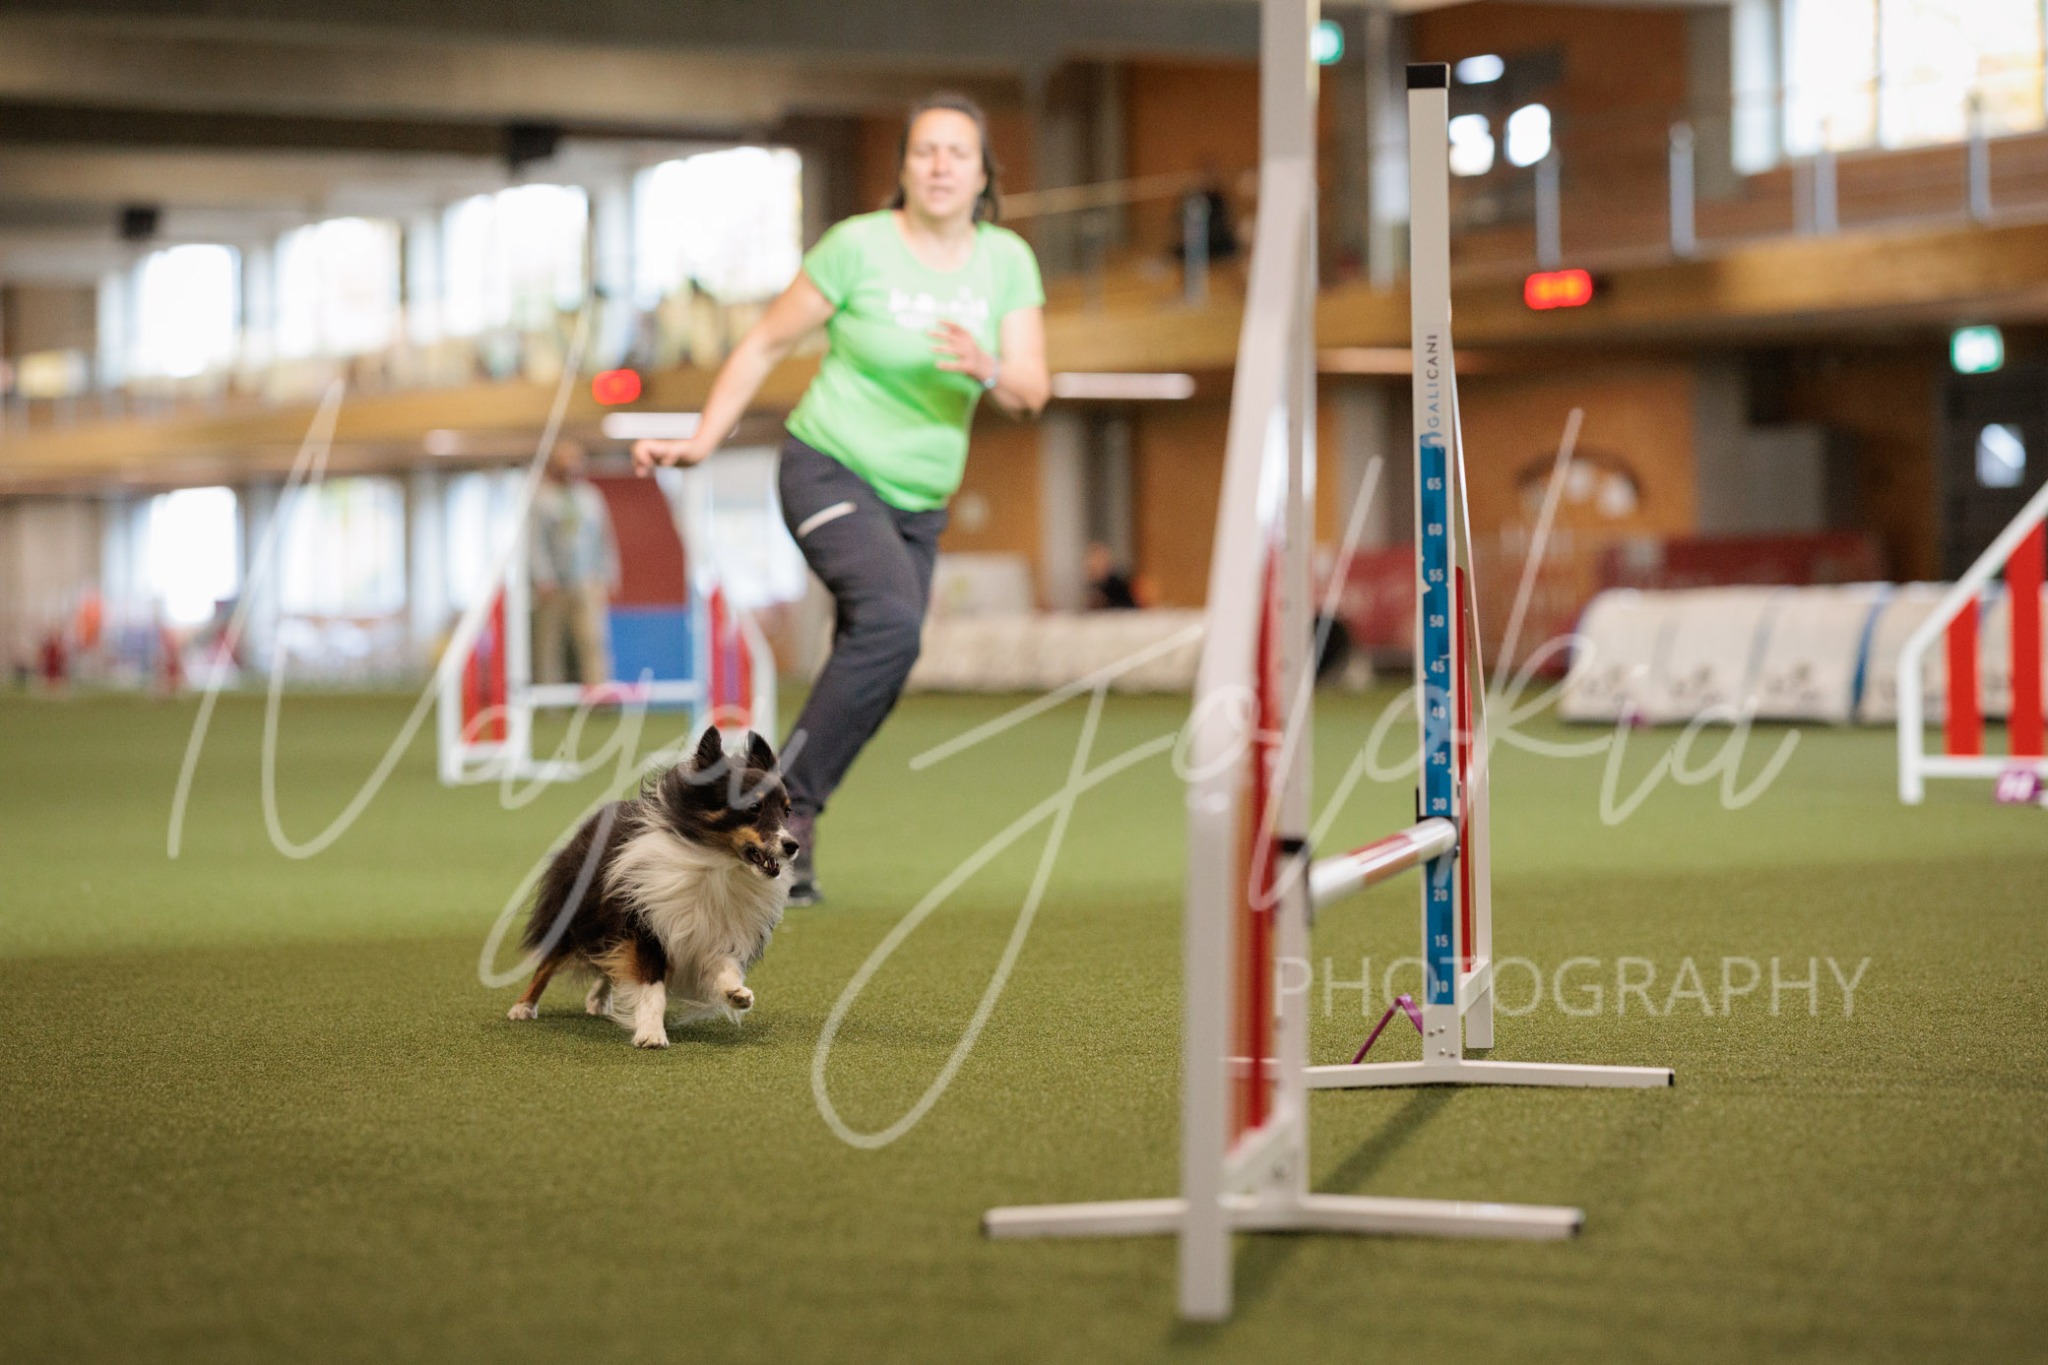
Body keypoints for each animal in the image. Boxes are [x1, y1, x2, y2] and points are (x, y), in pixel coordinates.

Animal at [506, 727, 798, 1049]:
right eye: (754, 807)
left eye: (787, 811)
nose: (793, 845)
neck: (716, 865)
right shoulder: (648, 924)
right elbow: (650, 986)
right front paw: (650, 1033)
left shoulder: (714, 929)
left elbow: (723, 964)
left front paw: (735, 993)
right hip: (578, 914)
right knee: (549, 962)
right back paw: (523, 1007)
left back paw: (598, 999)